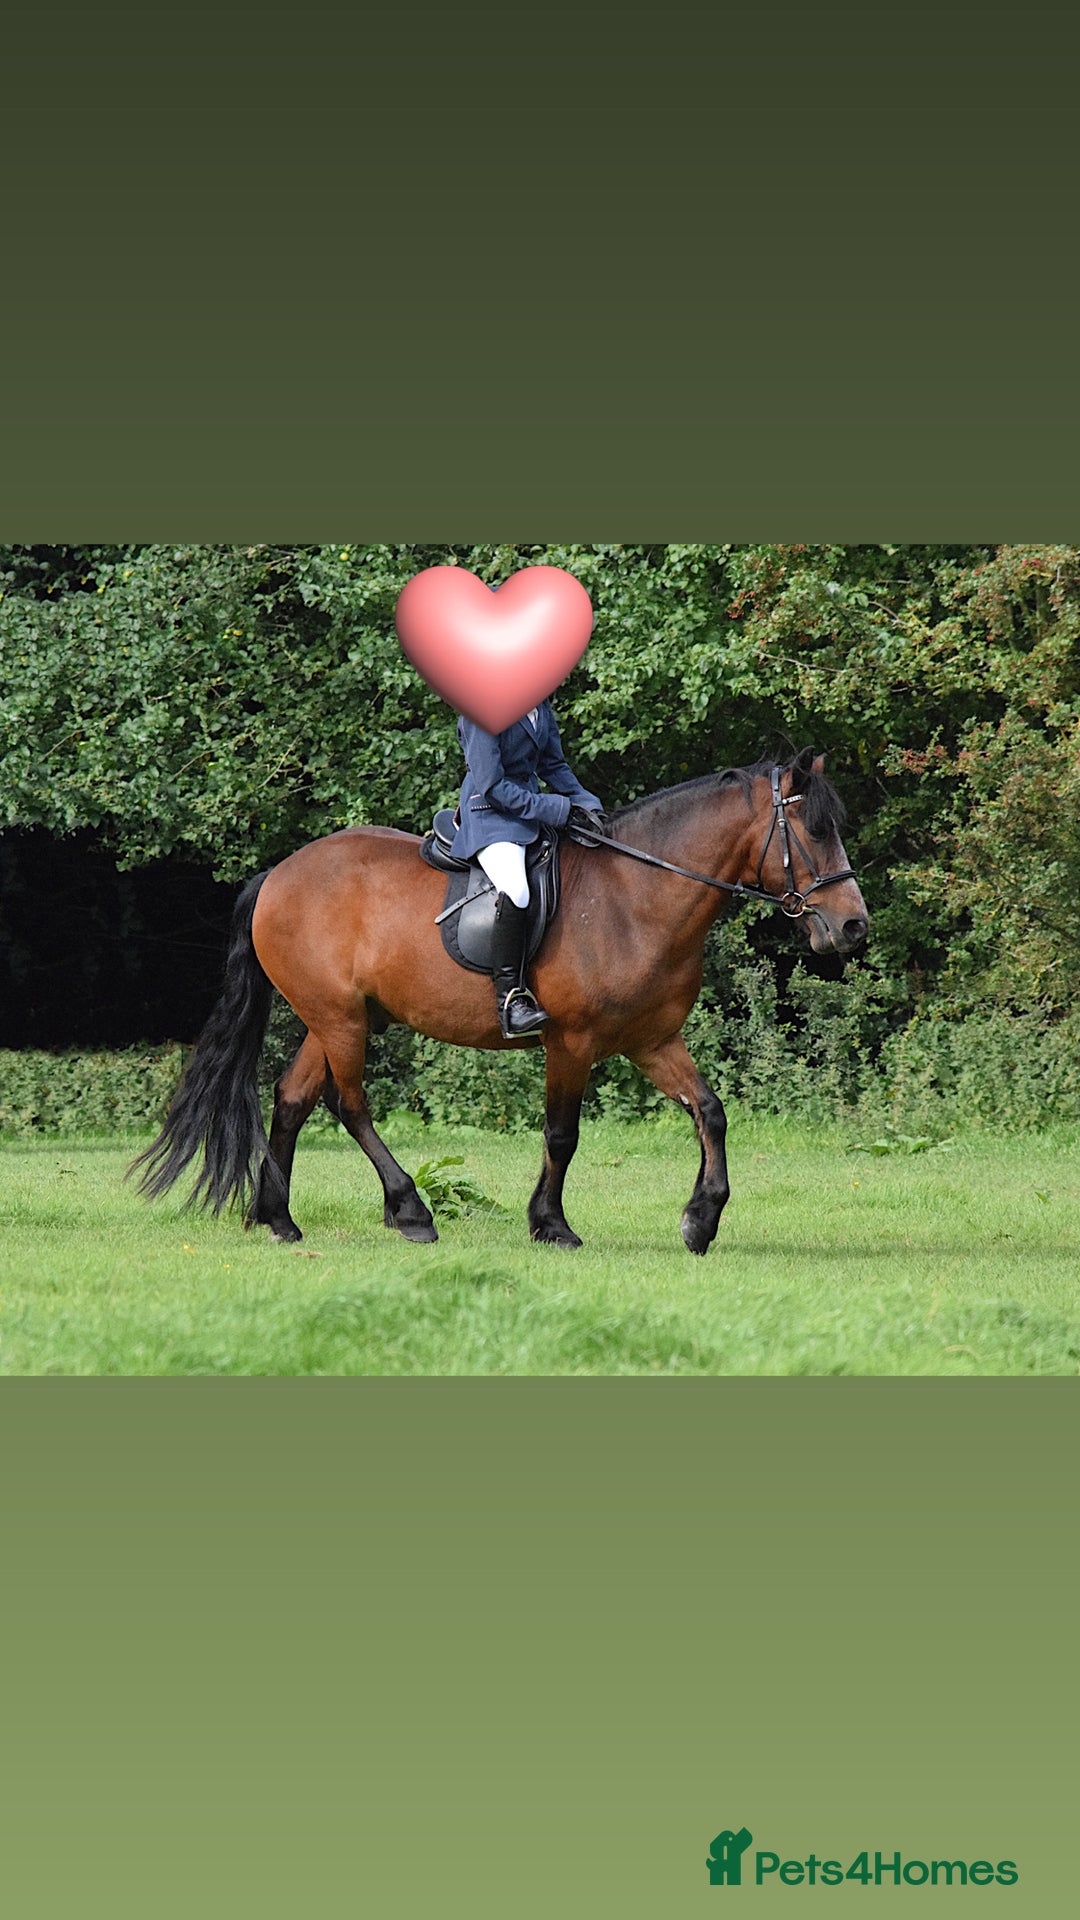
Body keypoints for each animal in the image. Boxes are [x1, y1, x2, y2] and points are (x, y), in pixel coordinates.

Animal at [132, 750, 868, 1256]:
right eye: (813, 832)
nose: (853, 927)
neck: (635, 897)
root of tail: (280, 873)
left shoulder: (651, 1041)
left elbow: (710, 1112)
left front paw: (700, 1219)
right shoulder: (571, 1041)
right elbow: (562, 1134)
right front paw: (551, 1225)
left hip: (337, 1016)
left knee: (291, 1100)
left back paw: (279, 1219)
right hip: (339, 1019)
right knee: (349, 1104)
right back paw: (409, 1211)